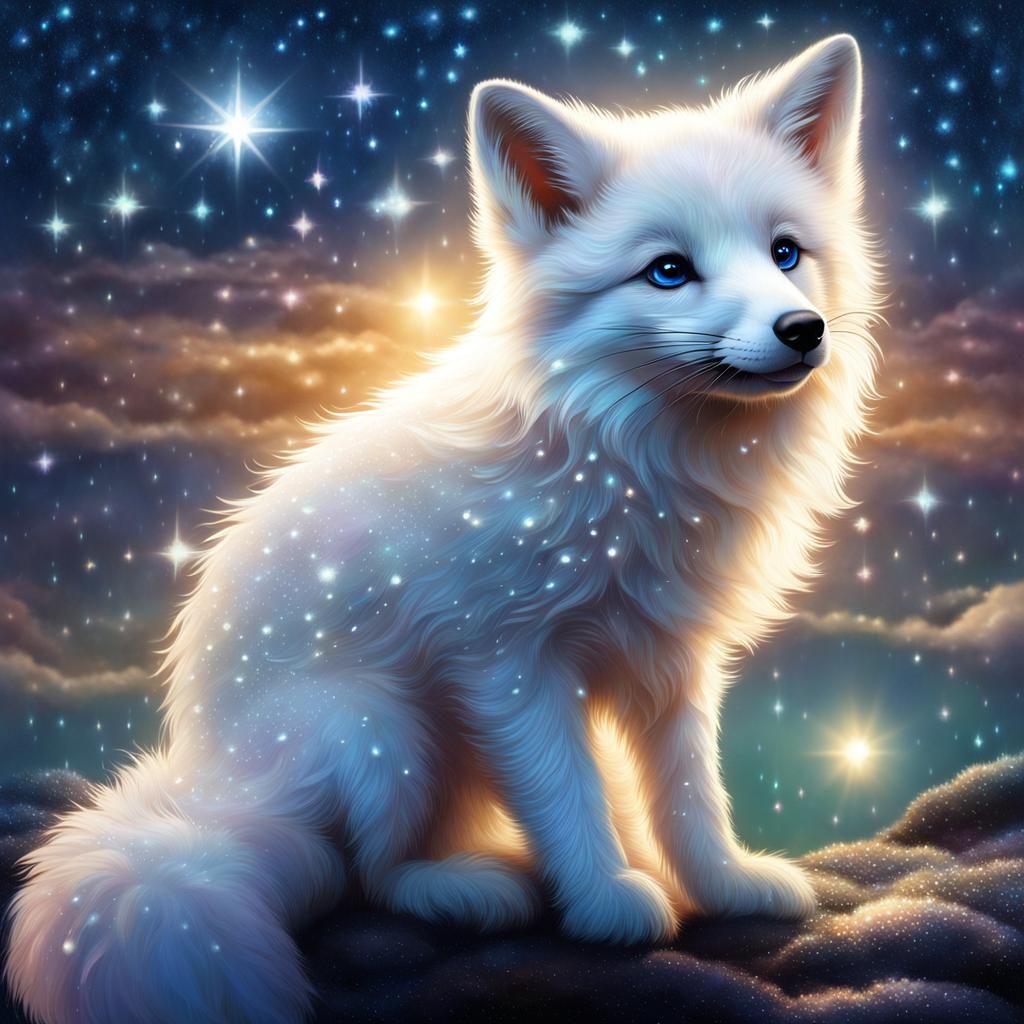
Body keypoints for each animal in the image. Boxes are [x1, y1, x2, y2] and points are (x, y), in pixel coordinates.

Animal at [6, 34, 880, 1024]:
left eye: (785, 253)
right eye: (668, 270)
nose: (802, 329)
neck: (628, 453)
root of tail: (204, 786)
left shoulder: (671, 659)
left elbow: (688, 793)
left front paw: (724, 886)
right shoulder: (504, 662)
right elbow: (568, 794)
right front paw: (608, 904)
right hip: (378, 728)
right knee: (367, 875)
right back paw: (470, 888)